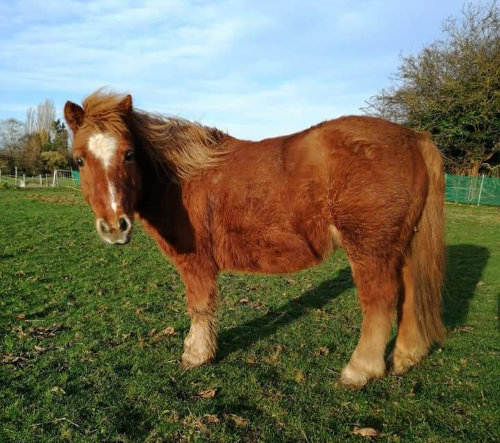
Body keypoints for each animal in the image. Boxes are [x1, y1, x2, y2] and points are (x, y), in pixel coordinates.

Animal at [64, 91, 444, 388]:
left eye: (129, 154)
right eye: (79, 160)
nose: (115, 227)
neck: (181, 177)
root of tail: (414, 138)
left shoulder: (196, 263)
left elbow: (200, 307)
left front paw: (196, 354)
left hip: (370, 249)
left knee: (381, 300)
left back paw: (359, 370)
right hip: (402, 246)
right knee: (410, 292)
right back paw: (405, 357)